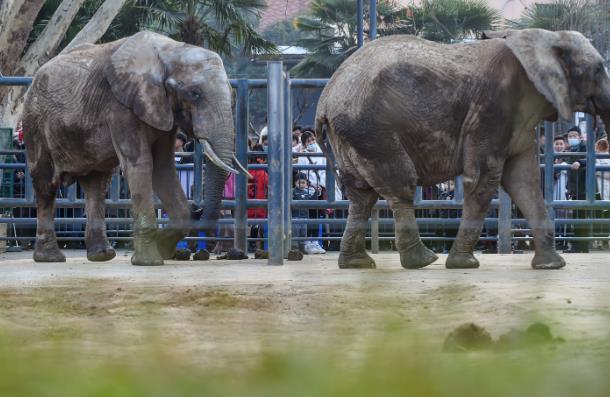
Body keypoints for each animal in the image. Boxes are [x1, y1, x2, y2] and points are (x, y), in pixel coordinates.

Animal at [22, 31, 249, 266]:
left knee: (97, 185)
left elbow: (163, 168)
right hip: (35, 123)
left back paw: (101, 255)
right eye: (194, 94)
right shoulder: (121, 106)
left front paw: (162, 248)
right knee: (46, 184)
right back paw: (50, 258)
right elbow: (141, 165)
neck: (170, 51)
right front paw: (149, 261)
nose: (198, 208)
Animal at [314, 27, 608, 270]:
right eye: (599, 69)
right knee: (400, 186)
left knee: (361, 196)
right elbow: (483, 179)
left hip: (351, 135)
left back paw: (357, 263)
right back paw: (422, 261)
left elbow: (523, 182)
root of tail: (325, 99)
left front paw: (551, 266)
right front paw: (463, 264)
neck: (544, 37)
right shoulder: (491, 110)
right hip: (371, 129)